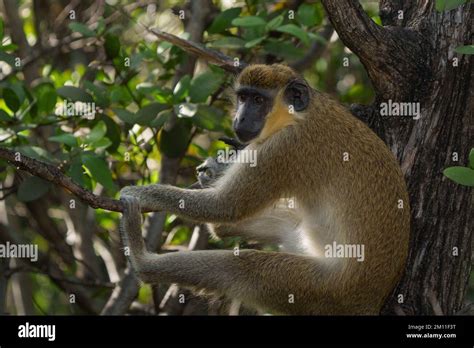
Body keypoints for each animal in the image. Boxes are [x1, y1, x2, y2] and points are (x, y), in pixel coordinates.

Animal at [119, 63, 412, 316]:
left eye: (259, 101)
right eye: (243, 97)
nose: (240, 117)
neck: (299, 115)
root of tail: (370, 301)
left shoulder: (284, 147)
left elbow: (225, 206)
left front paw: (140, 193)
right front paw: (214, 170)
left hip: (322, 291)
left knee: (241, 268)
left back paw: (143, 261)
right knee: (271, 225)